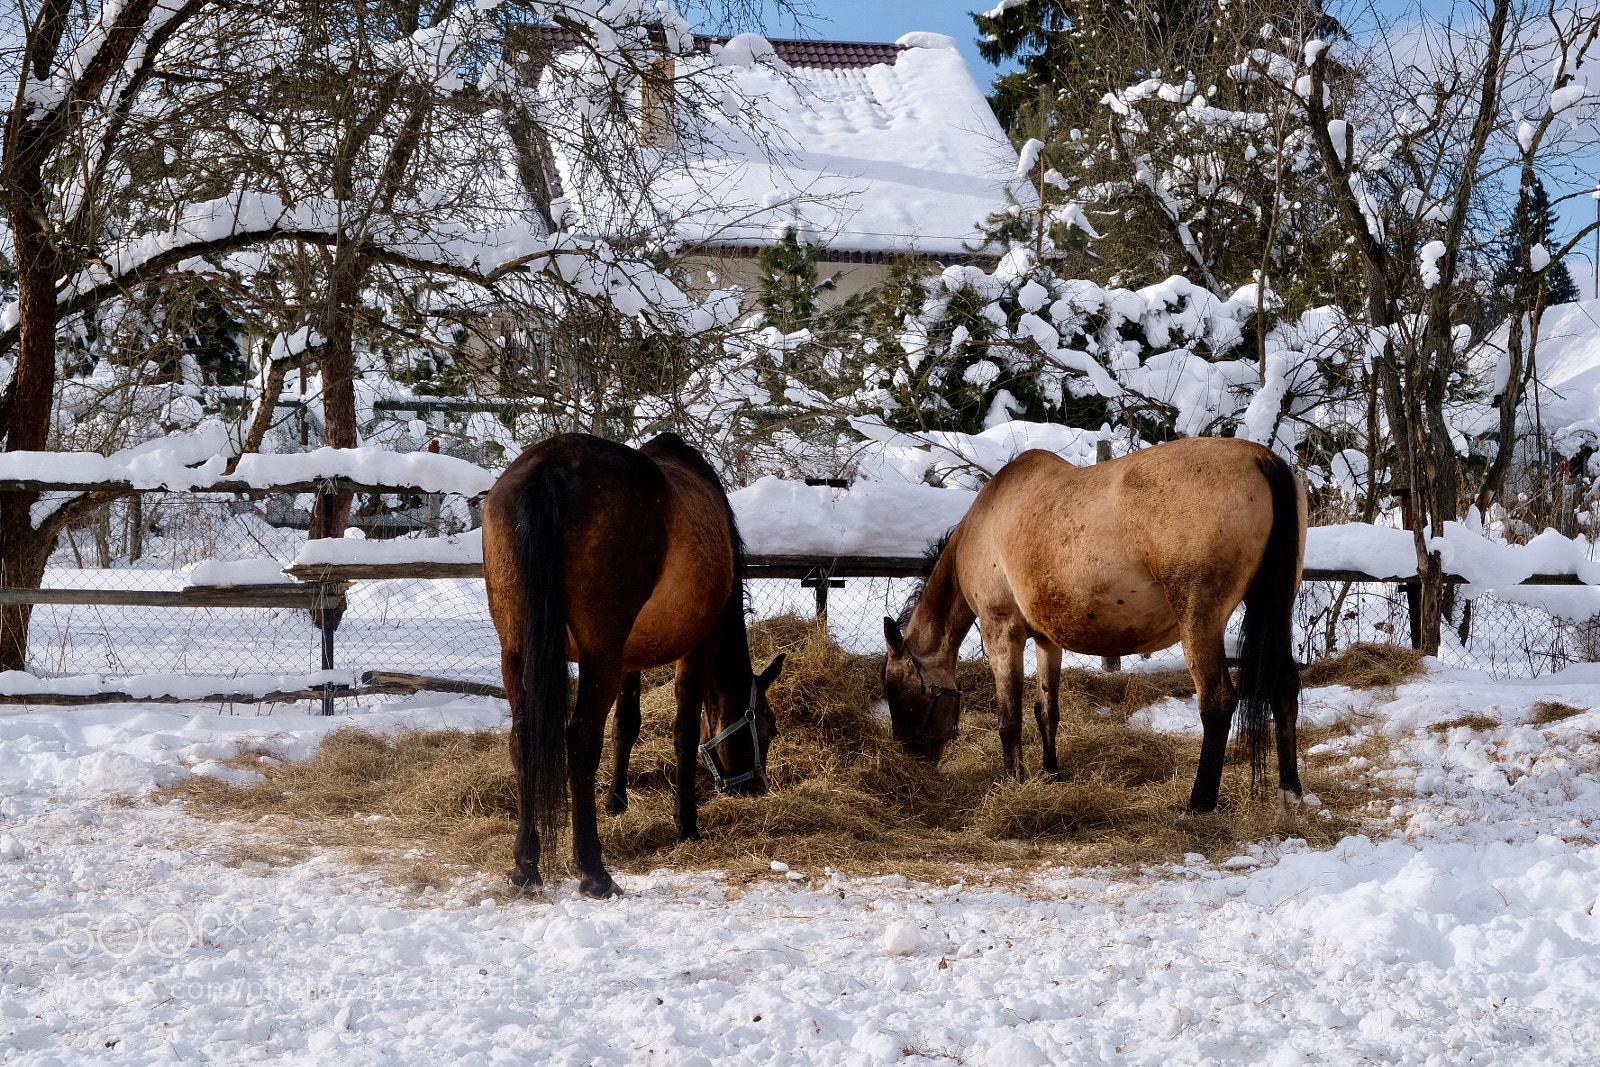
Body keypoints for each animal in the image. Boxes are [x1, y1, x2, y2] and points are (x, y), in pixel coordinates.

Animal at [482, 432, 784, 898]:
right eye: (767, 729)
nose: (753, 787)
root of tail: (550, 467)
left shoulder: (628, 657)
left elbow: (626, 724)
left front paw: (616, 801)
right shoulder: (699, 645)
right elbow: (684, 731)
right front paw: (687, 823)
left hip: (515, 651)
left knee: (523, 738)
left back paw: (525, 865)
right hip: (598, 655)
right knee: (580, 740)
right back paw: (594, 871)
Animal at [881, 437, 1306, 818]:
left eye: (898, 692)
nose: (911, 761)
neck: (985, 523)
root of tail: (1261, 458)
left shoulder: (1001, 631)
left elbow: (1009, 719)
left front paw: (1015, 782)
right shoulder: (1047, 641)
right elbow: (1045, 711)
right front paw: (1051, 775)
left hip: (1199, 619)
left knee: (1217, 702)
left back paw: (1198, 804)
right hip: (1275, 605)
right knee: (1285, 686)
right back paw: (1290, 795)